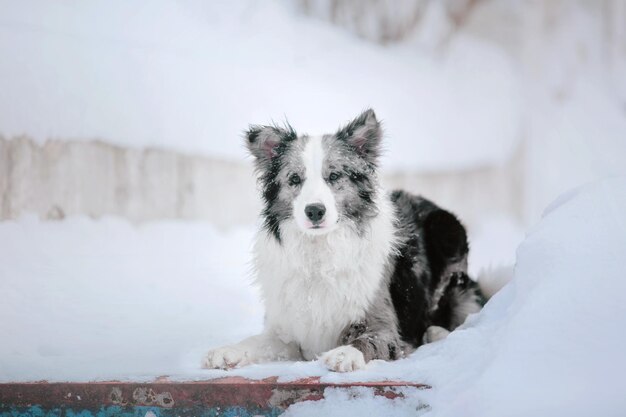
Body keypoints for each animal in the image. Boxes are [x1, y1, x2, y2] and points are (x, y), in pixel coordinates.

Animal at [202, 109, 486, 372]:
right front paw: (227, 351)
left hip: (447, 230)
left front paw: (345, 353)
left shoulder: (383, 325)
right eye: (294, 179)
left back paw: (435, 332)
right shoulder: (288, 331)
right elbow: (255, 341)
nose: (315, 211)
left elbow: (367, 341)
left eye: (334, 176)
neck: (320, 252)